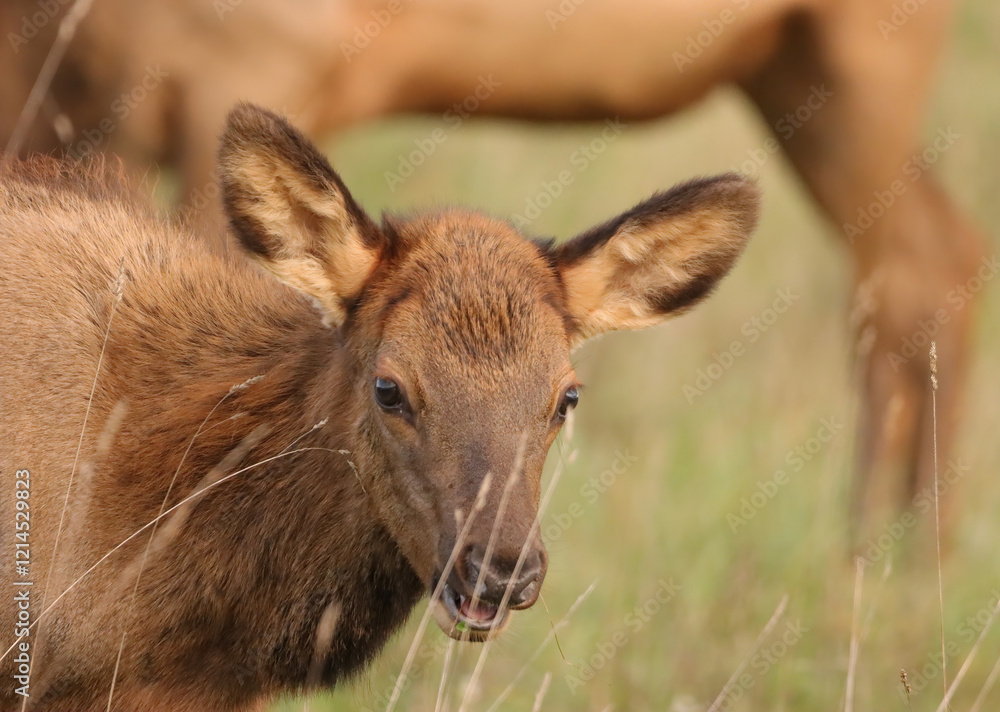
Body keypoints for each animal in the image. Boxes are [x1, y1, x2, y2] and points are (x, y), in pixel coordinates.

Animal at [1, 0, 987, 547]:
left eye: (569, 396)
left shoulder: (243, 66)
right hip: (791, 73)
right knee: (934, 261)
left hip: (863, 60)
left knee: (923, 266)